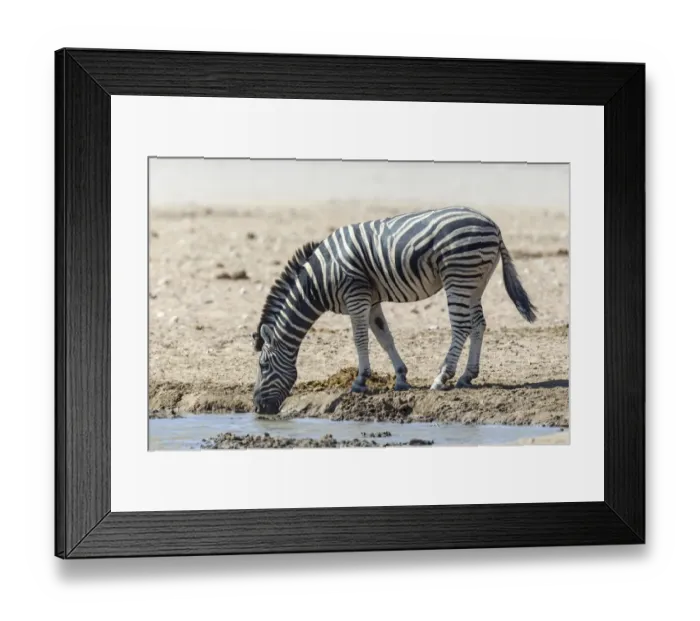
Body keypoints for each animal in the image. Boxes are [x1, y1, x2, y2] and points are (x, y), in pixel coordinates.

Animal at [252, 206, 536, 415]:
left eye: (263, 365)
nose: (256, 408)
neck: (318, 280)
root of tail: (492, 224)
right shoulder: (371, 301)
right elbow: (384, 337)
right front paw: (400, 378)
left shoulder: (356, 295)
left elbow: (360, 339)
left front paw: (360, 381)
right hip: (476, 281)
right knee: (478, 324)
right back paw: (467, 376)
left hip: (459, 274)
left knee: (461, 326)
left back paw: (442, 378)